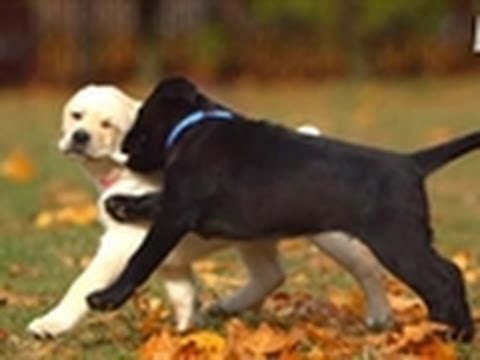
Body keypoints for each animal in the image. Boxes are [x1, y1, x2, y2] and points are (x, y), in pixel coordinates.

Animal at [27, 86, 390, 338]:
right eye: (76, 115)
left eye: (108, 125)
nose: (79, 136)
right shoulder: (171, 261)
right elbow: (184, 295)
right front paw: (186, 333)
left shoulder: (123, 245)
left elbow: (84, 283)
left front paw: (52, 324)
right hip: (253, 238)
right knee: (271, 275)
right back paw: (230, 305)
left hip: (329, 236)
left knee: (365, 266)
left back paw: (380, 315)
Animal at [88, 77, 478, 342]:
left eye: (141, 116)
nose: (123, 150)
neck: (195, 126)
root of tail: (411, 163)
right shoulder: (178, 203)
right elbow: (152, 201)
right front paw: (119, 205)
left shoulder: (178, 212)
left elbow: (141, 259)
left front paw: (105, 299)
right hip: (408, 240)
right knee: (449, 272)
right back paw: (448, 329)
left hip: (397, 242)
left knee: (444, 276)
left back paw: (452, 333)